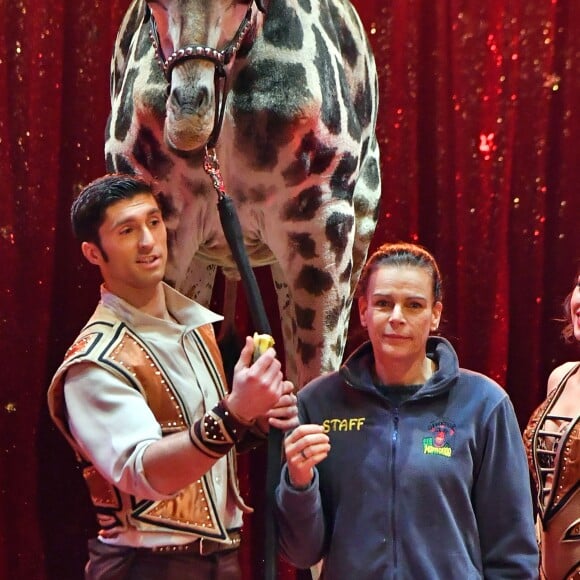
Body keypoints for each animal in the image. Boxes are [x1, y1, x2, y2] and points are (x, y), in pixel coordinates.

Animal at [105, 1, 380, 390]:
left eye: (241, 3)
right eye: (152, 4)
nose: (189, 117)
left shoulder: (322, 225)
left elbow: (317, 371)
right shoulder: (166, 222)